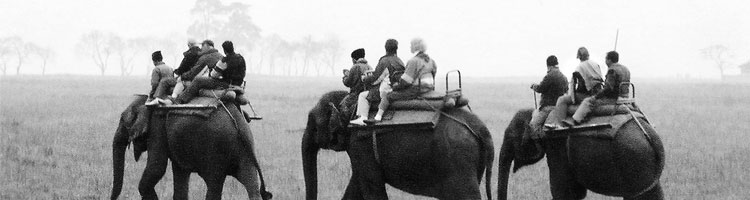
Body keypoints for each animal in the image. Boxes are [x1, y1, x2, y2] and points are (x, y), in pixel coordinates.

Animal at [111, 95, 274, 200]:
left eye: (123, 120)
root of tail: (237, 119)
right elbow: (180, 173)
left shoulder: (158, 126)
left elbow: (156, 168)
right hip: (244, 150)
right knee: (251, 183)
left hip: (215, 147)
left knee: (214, 184)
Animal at [302, 91, 496, 200]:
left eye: (313, 124)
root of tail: (482, 129)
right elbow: (356, 186)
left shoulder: (360, 143)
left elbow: (371, 189)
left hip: (458, 160)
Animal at [496, 108, 668, 199]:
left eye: (511, 137)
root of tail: (652, 136)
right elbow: (575, 193)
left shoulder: (557, 145)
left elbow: (563, 191)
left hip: (634, 160)